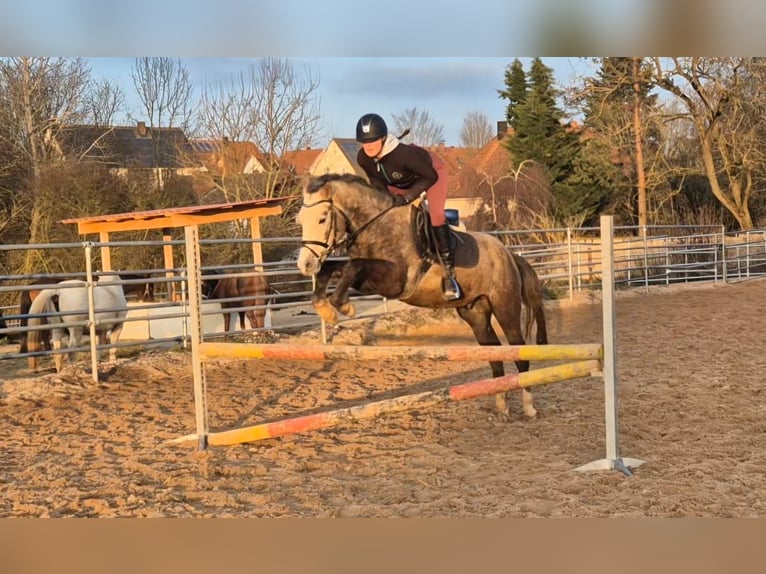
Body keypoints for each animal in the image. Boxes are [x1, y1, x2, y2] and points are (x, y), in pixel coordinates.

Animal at [296, 173, 548, 420]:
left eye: (322, 219)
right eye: (300, 220)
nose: (305, 264)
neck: (377, 226)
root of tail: (509, 254)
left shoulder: (394, 281)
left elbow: (353, 266)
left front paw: (342, 307)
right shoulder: (368, 281)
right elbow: (334, 268)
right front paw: (324, 307)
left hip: (505, 308)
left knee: (519, 351)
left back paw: (529, 407)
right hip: (475, 313)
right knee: (495, 355)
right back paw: (502, 407)